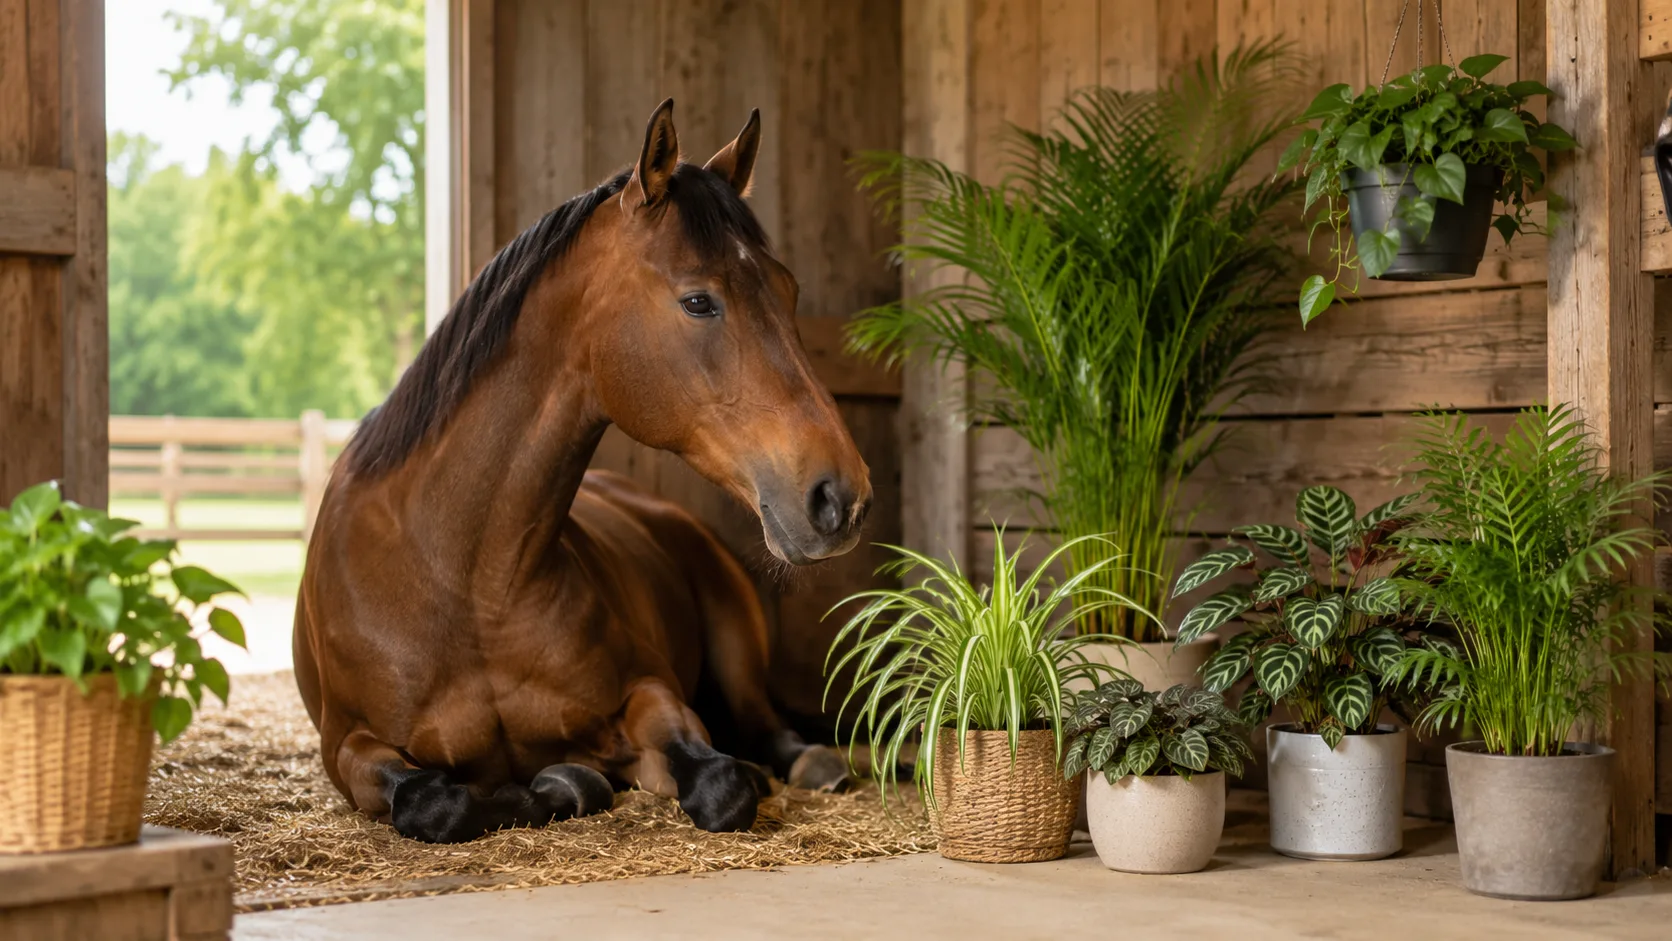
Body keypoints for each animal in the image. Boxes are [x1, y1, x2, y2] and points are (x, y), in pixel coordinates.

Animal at [292, 99, 872, 843]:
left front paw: (586, 777)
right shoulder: (350, 748)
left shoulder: (651, 692)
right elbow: (432, 798)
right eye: (698, 301)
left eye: (789, 288)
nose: (841, 496)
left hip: (738, 661)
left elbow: (719, 781)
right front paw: (561, 782)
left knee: (771, 733)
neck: (461, 581)